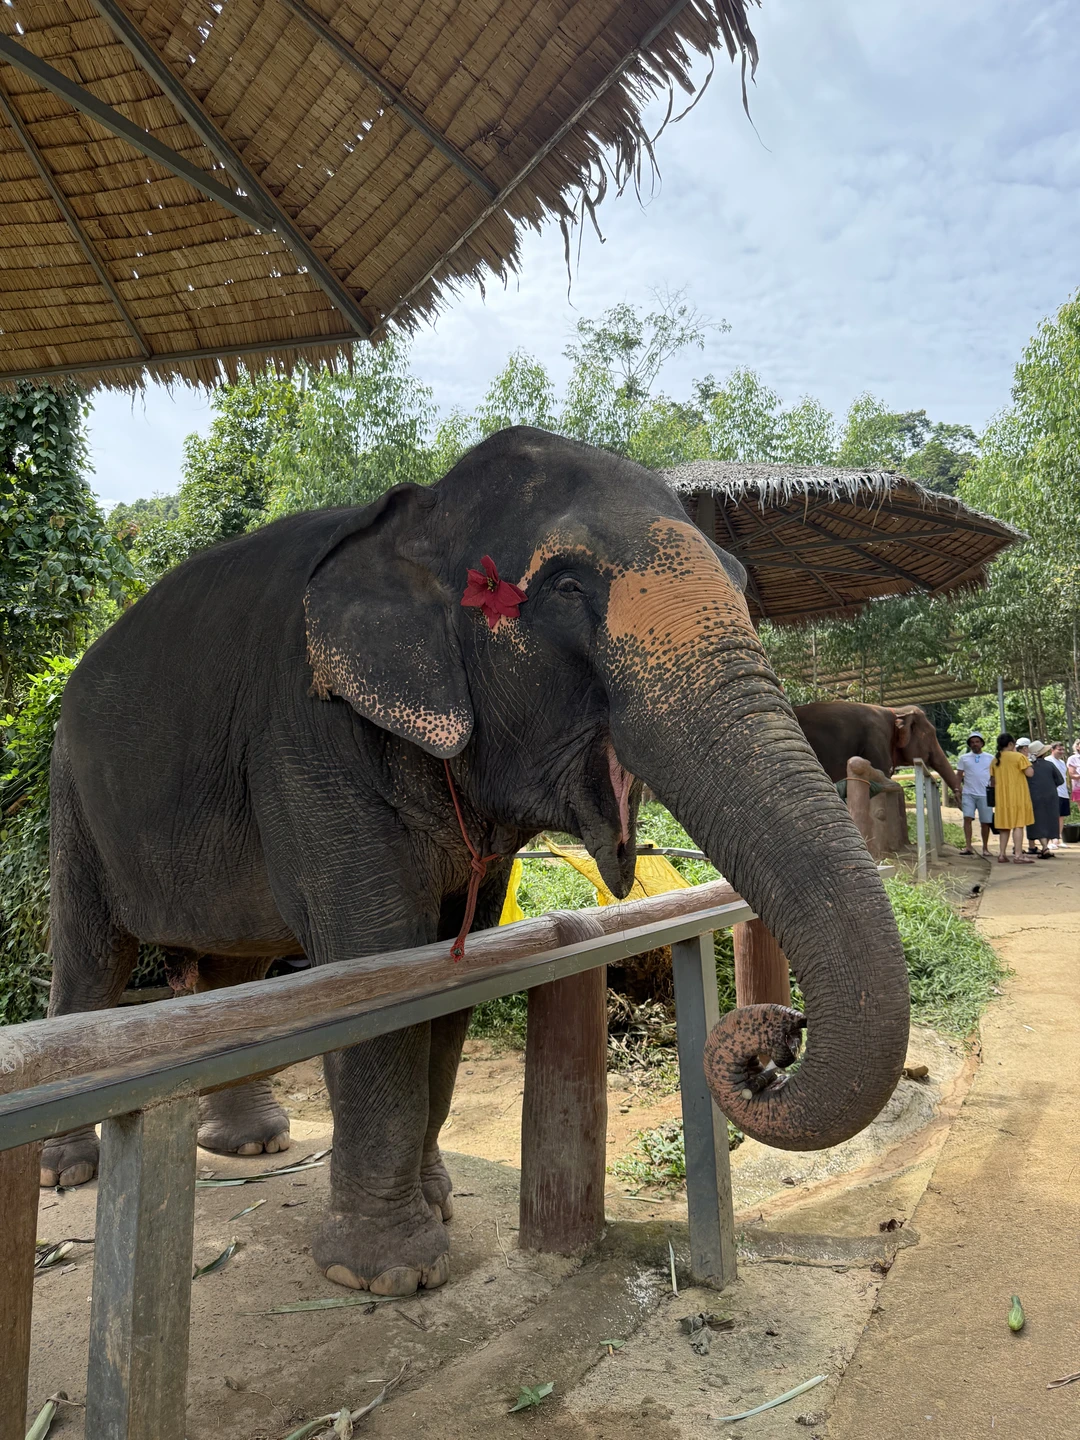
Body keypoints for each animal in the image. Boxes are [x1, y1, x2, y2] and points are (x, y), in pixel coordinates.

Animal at [44, 427, 910, 1297]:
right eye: (565, 586)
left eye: (740, 582)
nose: (775, 1041)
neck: (415, 513)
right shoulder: (302, 736)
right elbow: (375, 961)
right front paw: (386, 1275)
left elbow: (452, 966)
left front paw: (436, 1204)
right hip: (72, 798)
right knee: (91, 963)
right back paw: (69, 1171)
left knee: (235, 968)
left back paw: (251, 1144)